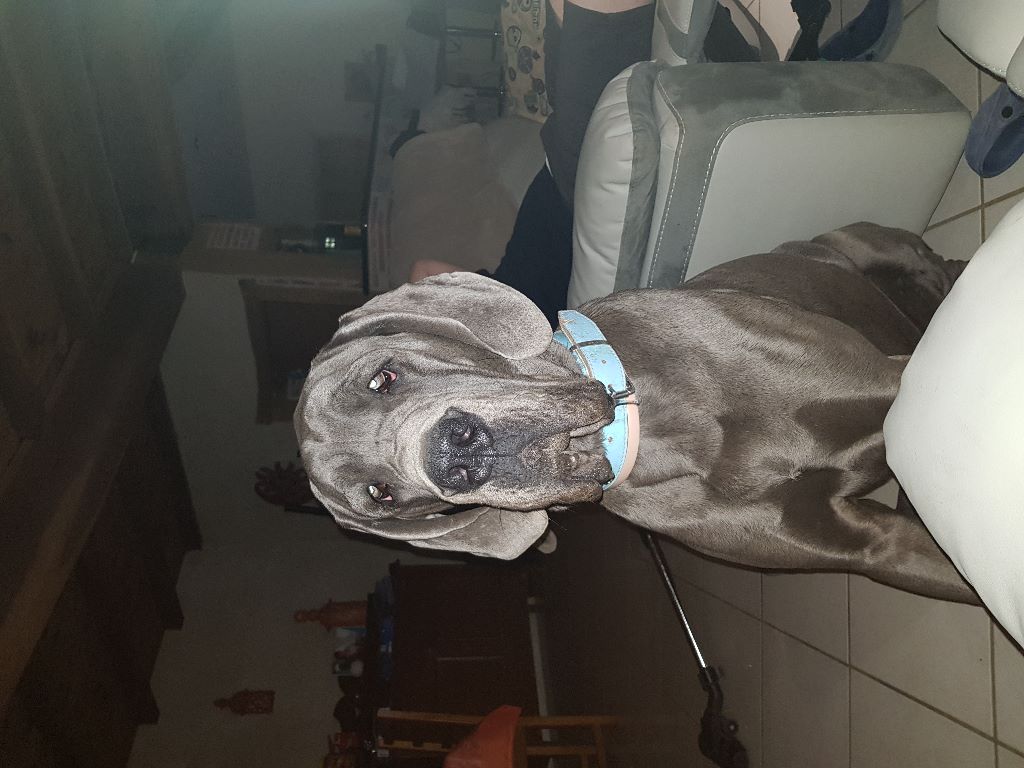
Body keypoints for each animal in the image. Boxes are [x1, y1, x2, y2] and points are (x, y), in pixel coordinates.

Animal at [295, 223, 975, 603]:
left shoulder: (889, 380)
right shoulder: (875, 546)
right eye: (380, 495)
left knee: (938, 268)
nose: (454, 456)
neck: (660, 433)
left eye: (384, 378)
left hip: (872, 251)